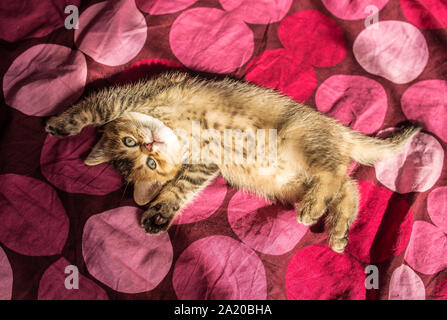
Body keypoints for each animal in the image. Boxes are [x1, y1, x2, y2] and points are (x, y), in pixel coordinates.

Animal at [47, 72, 422, 252]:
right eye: (148, 165)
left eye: (131, 143)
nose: (150, 145)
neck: (175, 133)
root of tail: (336, 128)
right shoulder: (205, 164)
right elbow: (180, 189)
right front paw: (160, 214)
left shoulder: (132, 95)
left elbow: (92, 108)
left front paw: (59, 124)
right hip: (289, 181)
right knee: (348, 187)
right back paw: (338, 230)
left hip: (302, 138)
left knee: (335, 174)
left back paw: (312, 211)